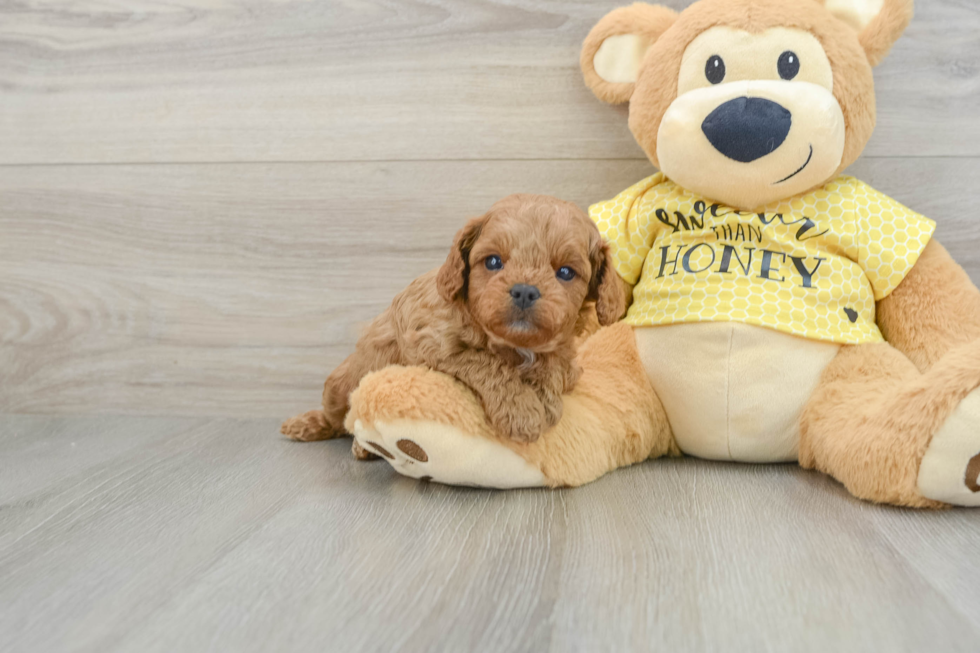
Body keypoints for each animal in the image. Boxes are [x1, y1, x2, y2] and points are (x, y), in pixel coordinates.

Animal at [280, 194, 624, 448]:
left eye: (566, 272)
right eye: (493, 262)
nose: (525, 291)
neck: (513, 344)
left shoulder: (565, 356)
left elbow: (557, 365)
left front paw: (547, 397)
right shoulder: (431, 342)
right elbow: (486, 362)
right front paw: (523, 411)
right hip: (339, 384)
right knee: (341, 419)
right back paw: (310, 426)